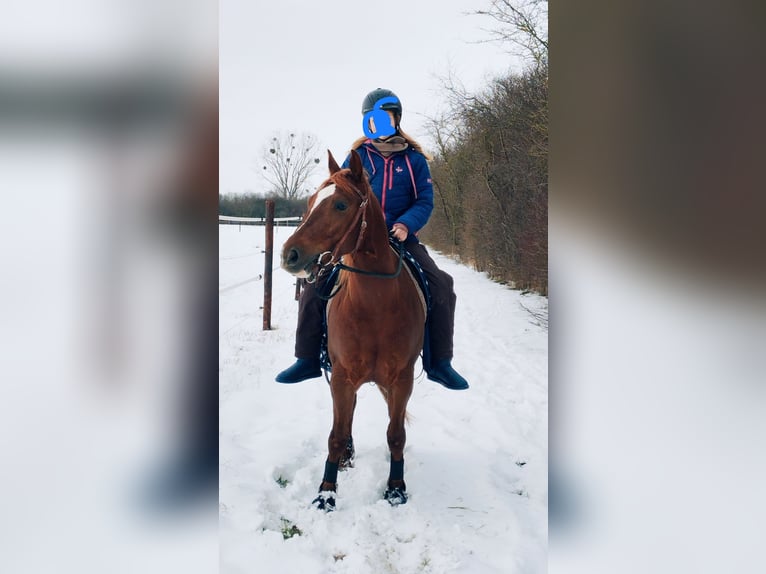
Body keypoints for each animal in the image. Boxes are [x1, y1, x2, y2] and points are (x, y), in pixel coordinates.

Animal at [282, 150, 428, 512]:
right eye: (310, 202)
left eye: (340, 205)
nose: (289, 255)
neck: (374, 305)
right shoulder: (342, 377)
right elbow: (335, 434)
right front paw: (326, 493)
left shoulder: (401, 379)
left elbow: (395, 434)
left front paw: (395, 488)